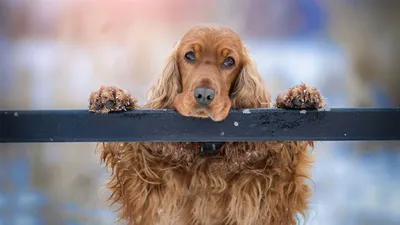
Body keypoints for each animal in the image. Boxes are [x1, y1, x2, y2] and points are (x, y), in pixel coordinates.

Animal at [89, 25, 326, 225]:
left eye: (229, 61)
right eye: (190, 56)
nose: (204, 94)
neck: (207, 150)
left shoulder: (267, 193)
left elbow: (286, 163)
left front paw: (299, 96)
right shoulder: (149, 189)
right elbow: (129, 154)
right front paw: (111, 97)